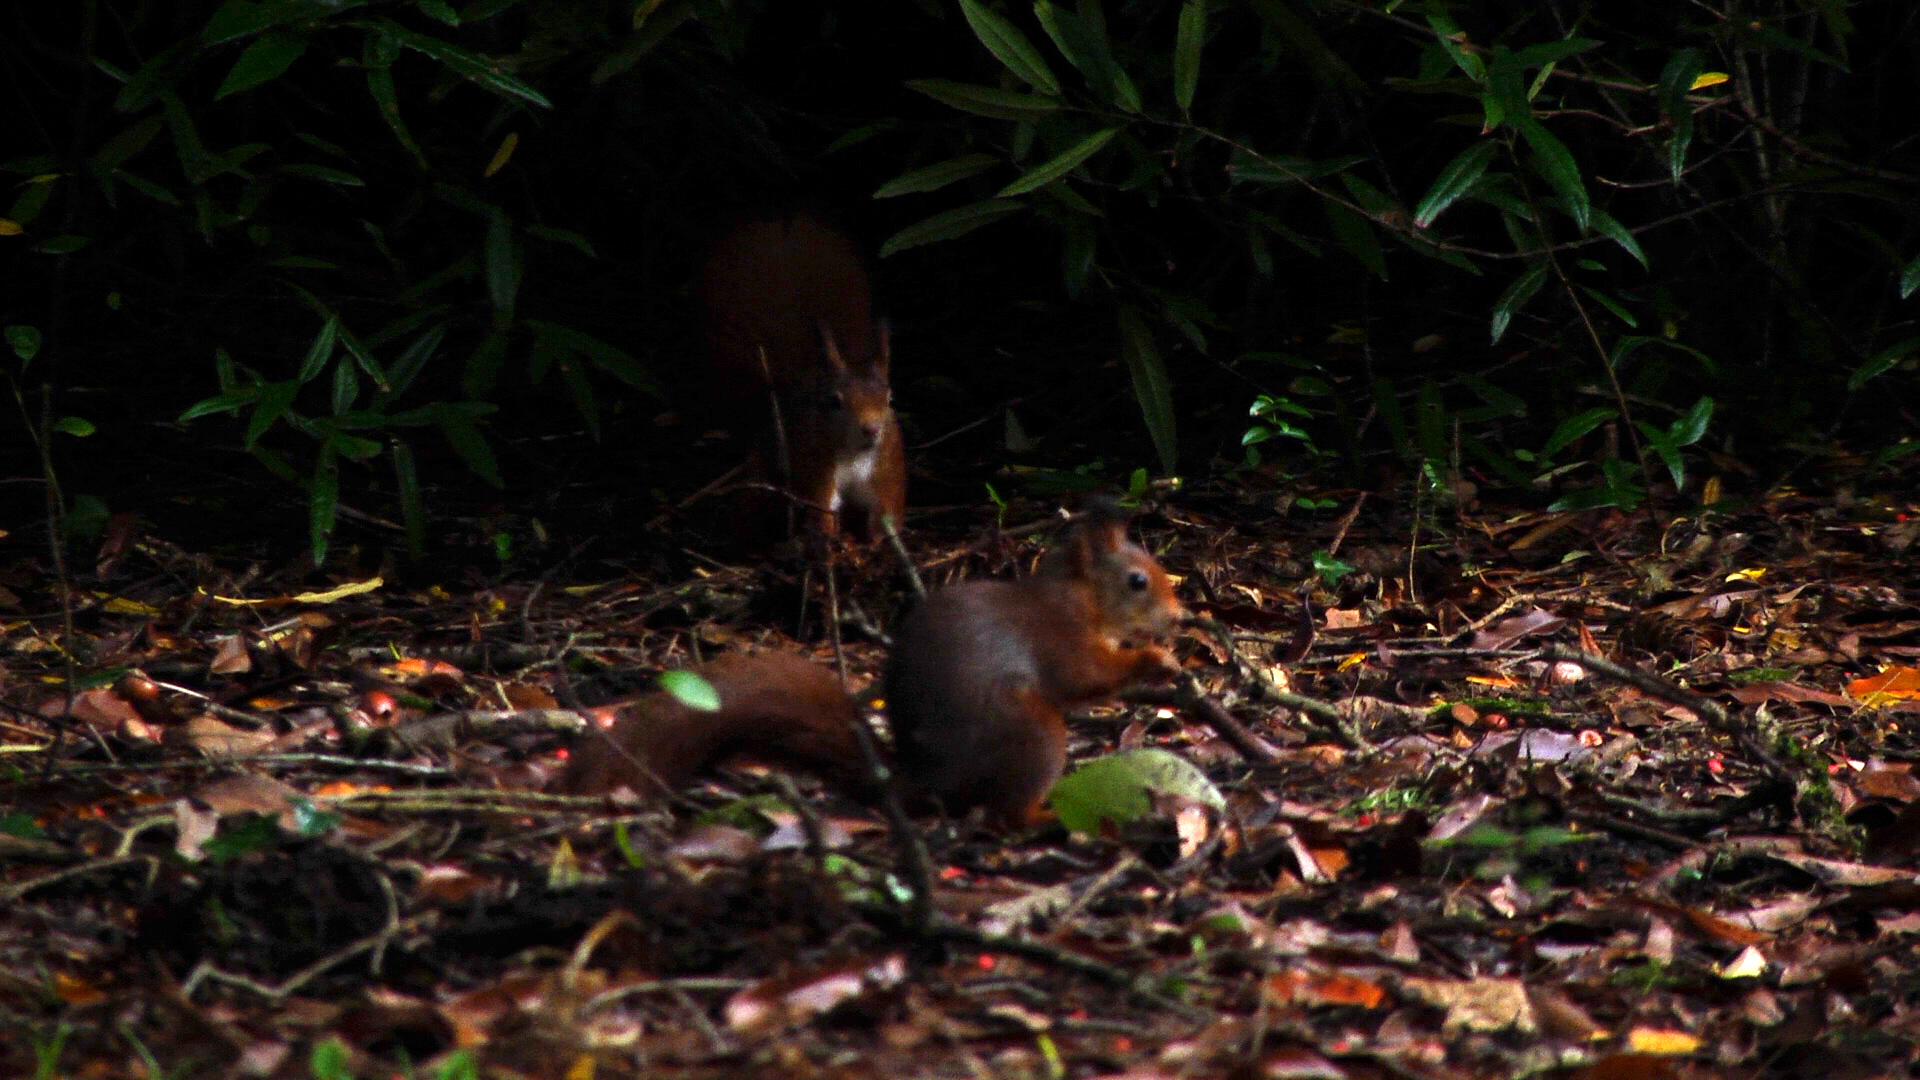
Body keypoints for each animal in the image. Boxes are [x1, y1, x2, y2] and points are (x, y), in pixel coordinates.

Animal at [556, 502, 1186, 826]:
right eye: (1137, 581)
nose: (1179, 617)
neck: (1077, 597)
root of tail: (929, 781)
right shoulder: (1060, 639)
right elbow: (1086, 677)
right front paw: (1157, 660)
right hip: (1034, 733)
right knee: (1003, 813)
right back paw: (1043, 816)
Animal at [698, 213, 907, 542]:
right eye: (834, 402)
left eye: (890, 399)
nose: (871, 429)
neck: (853, 455)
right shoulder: (815, 466)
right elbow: (822, 512)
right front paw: (831, 543)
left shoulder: (886, 470)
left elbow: (884, 516)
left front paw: (875, 544)